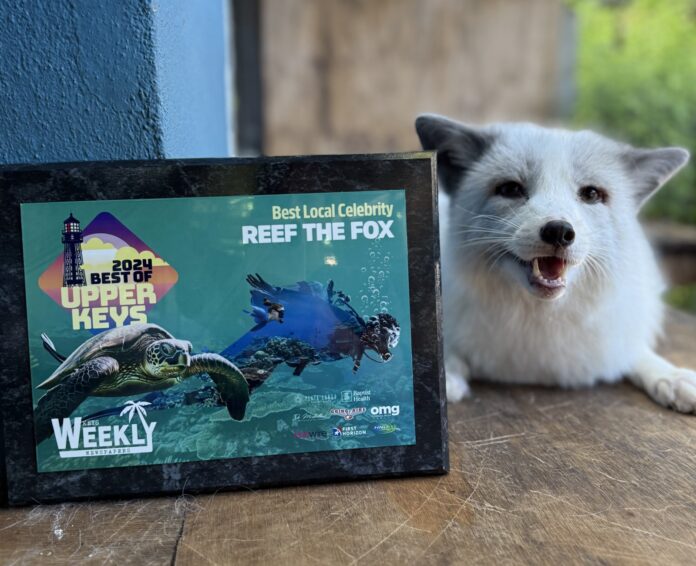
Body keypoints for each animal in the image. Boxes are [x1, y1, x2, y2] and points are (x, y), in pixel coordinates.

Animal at [416, 114, 696, 412]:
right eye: (510, 189)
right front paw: (444, 376)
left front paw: (671, 376)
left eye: (591, 194)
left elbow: (636, 353)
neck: (541, 317)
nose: (559, 231)